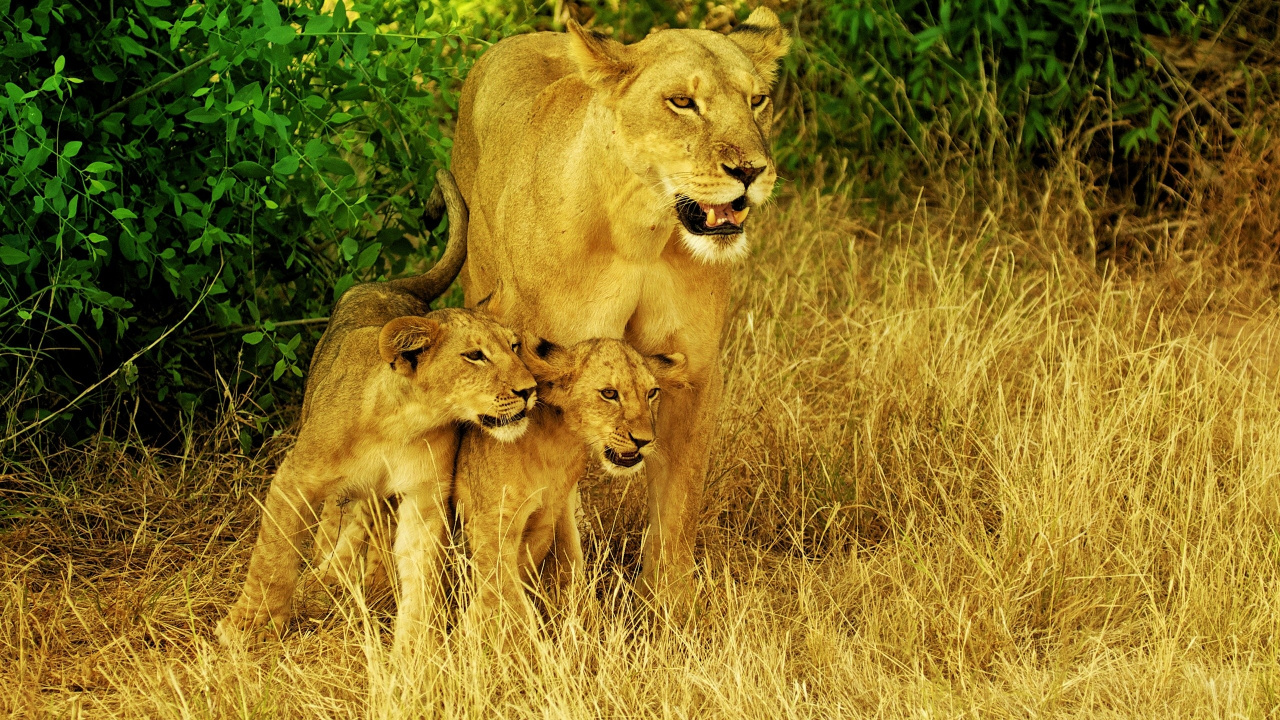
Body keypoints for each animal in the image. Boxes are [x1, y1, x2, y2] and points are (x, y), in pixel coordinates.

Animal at [215, 170, 537, 653]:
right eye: (475, 356)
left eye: (514, 347)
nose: (530, 390)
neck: (402, 423)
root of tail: (391, 285)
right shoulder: (295, 478)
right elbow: (274, 554)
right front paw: (248, 626)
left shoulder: (424, 495)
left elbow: (420, 572)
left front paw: (415, 648)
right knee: (336, 522)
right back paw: (327, 576)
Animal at [453, 338, 689, 629]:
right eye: (609, 394)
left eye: (652, 393)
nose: (644, 440)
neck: (559, 444)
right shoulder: (491, 525)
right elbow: (510, 600)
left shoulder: (555, 511)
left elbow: (567, 561)